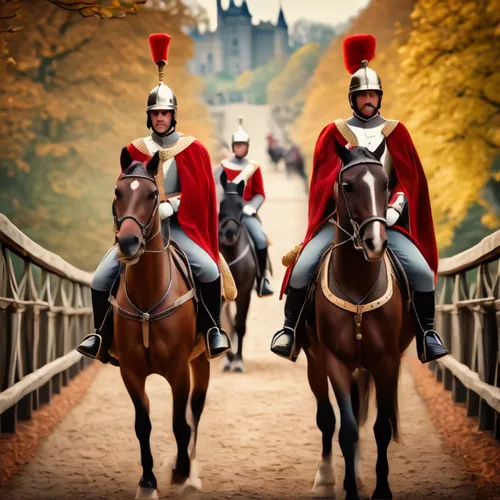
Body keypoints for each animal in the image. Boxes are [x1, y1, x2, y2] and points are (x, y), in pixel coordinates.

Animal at [111, 149, 209, 500]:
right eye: (118, 192)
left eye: (153, 195)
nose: (128, 242)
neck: (148, 301)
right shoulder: (131, 373)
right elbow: (143, 425)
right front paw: (147, 482)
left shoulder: (179, 371)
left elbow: (181, 423)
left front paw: (180, 471)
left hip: (202, 360)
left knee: (196, 410)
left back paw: (191, 472)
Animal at [304, 140, 414, 500]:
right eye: (348, 186)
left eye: (384, 184)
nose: (375, 243)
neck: (357, 289)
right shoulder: (335, 361)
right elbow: (347, 429)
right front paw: (350, 489)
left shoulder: (387, 362)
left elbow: (381, 427)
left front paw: (381, 489)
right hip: (316, 362)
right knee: (327, 417)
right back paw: (325, 478)